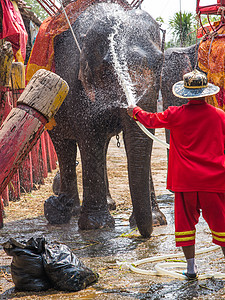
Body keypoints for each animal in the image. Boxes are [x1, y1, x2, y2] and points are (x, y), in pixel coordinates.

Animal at [44, 1, 166, 237]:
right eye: (108, 68)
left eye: (161, 62)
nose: (146, 234)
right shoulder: (77, 84)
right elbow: (90, 137)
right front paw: (95, 225)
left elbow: (135, 139)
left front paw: (156, 221)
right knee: (64, 146)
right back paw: (69, 209)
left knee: (103, 146)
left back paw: (108, 204)